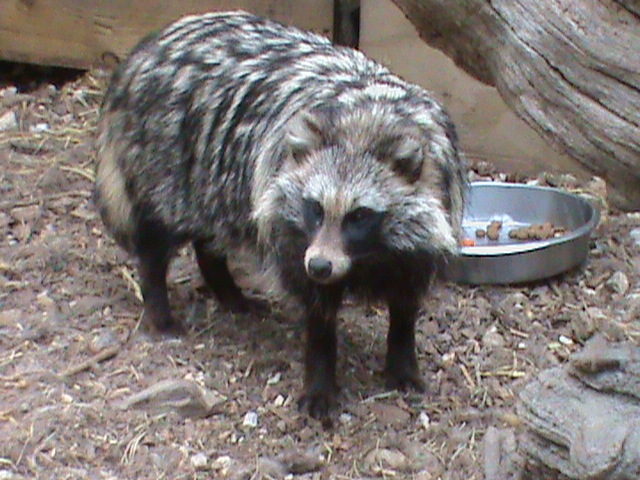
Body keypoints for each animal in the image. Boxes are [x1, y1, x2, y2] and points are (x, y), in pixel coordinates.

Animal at [95, 11, 466, 421]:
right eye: (315, 208)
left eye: (359, 216)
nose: (320, 265)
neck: (365, 122)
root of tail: (144, 51)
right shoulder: (292, 232)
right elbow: (317, 312)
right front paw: (320, 374)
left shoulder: (430, 219)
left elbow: (406, 298)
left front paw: (401, 355)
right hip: (165, 162)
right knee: (155, 235)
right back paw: (157, 299)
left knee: (212, 233)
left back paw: (225, 286)